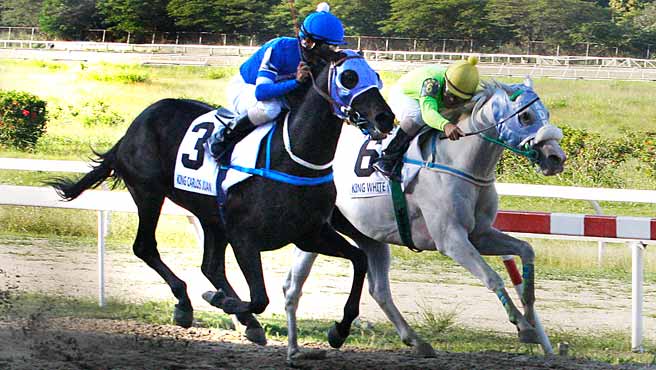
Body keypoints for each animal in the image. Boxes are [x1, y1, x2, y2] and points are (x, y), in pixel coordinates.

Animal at [50, 49, 394, 350]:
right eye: (349, 77)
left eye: (376, 75)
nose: (385, 118)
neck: (294, 158)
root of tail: (132, 128)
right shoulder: (245, 238)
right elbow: (260, 298)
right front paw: (219, 300)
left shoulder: (310, 233)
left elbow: (359, 260)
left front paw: (339, 330)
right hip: (149, 193)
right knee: (146, 247)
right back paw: (186, 302)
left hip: (211, 216)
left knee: (210, 266)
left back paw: (237, 318)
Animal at [280, 79, 564, 362]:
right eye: (526, 116)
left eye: (547, 114)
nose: (556, 159)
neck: (461, 163)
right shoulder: (451, 240)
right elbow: (492, 277)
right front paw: (524, 326)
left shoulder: (480, 235)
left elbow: (526, 251)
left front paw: (530, 318)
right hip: (317, 233)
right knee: (293, 286)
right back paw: (295, 348)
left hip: (370, 236)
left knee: (379, 290)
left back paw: (415, 341)